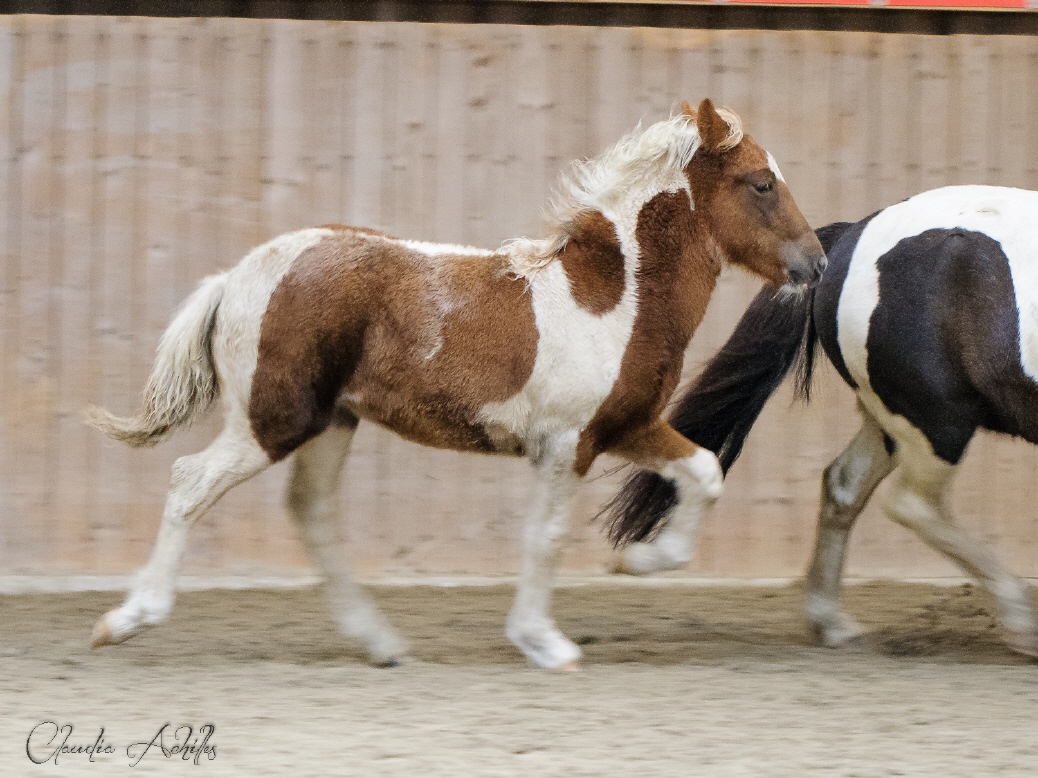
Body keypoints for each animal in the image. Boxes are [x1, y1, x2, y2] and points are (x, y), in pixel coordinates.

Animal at [89, 97, 822, 672]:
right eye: (761, 183)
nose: (814, 263)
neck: (613, 297)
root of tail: (236, 275)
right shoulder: (568, 442)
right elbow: (546, 537)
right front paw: (544, 643)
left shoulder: (624, 425)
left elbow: (703, 472)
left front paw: (637, 563)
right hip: (272, 420)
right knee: (191, 481)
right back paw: (126, 621)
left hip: (332, 422)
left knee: (311, 512)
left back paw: (380, 643)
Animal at [606, 187, 1038, 659]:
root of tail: (852, 235)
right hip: (937, 419)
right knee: (912, 503)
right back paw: (1022, 622)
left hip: (893, 420)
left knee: (844, 485)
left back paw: (829, 623)